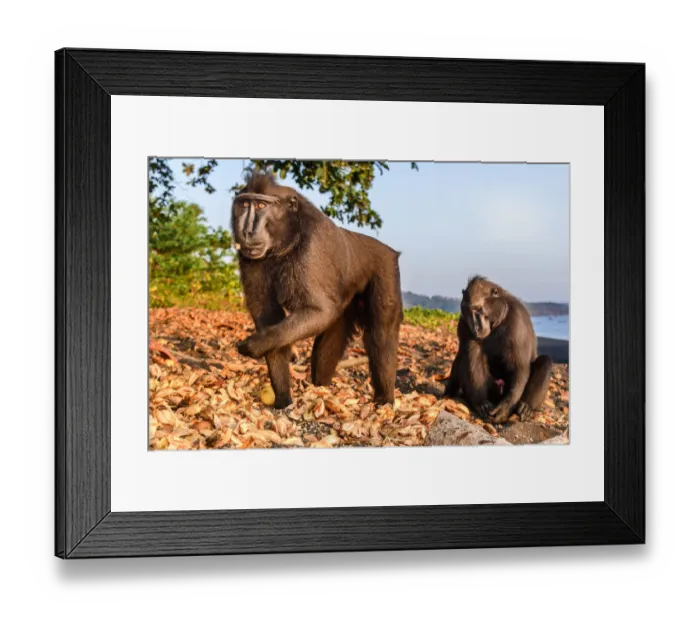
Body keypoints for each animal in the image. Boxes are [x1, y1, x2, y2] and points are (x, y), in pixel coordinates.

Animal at [231, 171, 403, 409]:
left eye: (261, 205)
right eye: (245, 204)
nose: (246, 231)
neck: (286, 241)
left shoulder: (311, 249)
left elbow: (320, 312)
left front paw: (255, 345)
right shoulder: (251, 259)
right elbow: (269, 317)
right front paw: (283, 398)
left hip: (386, 268)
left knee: (381, 332)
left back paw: (385, 399)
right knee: (333, 334)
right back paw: (321, 386)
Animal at [444, 276, 553, 424]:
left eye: (478, 309)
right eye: (468, 310)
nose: (476, 328)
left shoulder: (517, 320)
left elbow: (520, 367)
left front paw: (505, 407)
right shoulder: (463, 321)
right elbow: (461, 353)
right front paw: (448, 392)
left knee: (545, 361)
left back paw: (527, 408)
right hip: (493, 389)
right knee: (471, 346)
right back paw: (481, 403)